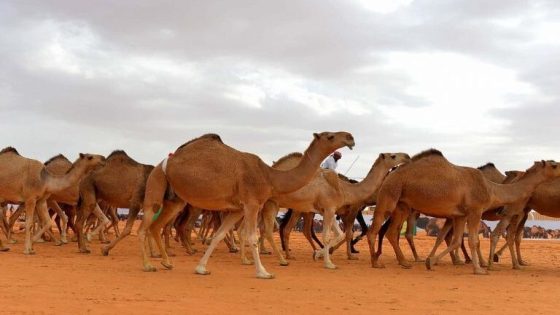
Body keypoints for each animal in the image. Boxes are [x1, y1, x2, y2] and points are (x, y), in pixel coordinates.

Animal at [137, 132, 352, 280]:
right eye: (330, 136)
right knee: (144, 226)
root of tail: (166, 160)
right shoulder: (252, 203)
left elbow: (219, 235)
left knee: (156, 226)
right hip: (156, 184)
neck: (269, 176)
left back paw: (166, 262)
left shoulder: (237, 209)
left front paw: (201, 268)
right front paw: (264, 272)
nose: (350, 138)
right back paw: (148, 265)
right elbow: (251, 237)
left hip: (176, 200)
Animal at [368, 149, 560, 276]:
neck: (491, 189)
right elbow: (473, 240)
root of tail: (390, 174)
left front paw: (431, 261)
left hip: (403, 204)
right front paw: (480, 269)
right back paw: (376, 263)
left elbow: (456, 240)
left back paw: (403, 262)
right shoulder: (475, 210)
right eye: (554, 165)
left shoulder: (460, 215)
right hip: (389, 195)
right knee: (375, 229)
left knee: (391, 232)